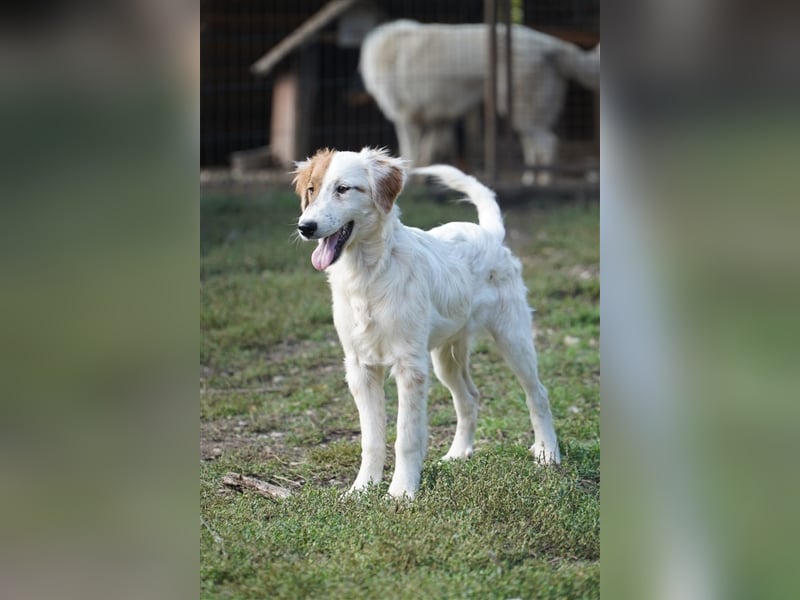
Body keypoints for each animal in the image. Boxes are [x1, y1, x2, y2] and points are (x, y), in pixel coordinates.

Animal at [294, 146, 564, 496]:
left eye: (343, 189)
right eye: (311, 189)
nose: (305, 227)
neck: (368, 273)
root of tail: (489, 233)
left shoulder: (410, 366)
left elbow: (406, 437)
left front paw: (401, 493)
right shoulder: (359, 367)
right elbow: (372, 439)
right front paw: (362, 489)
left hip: (513, 337)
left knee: (538, 394)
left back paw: (548, 452)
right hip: (445, 356)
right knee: (469, 398)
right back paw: (458, 453)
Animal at [360, 19, 596, 184]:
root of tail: (548, 43)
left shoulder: (407, 118)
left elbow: (409, 153)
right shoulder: (439, 120)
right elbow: (426, 155)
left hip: (522, 112)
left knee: (547, 143)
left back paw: (544, 182)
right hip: (524, 115)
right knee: (533, 146)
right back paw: (530, 179)